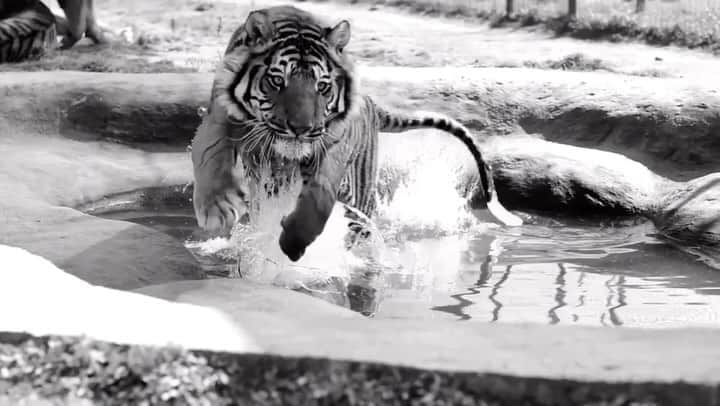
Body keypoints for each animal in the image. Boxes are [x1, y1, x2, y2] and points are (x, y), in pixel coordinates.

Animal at [191, 5, 522, 261]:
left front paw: (294, 242)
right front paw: (217, 208)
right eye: (276, 81)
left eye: (322, 86)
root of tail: (373, 103)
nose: (301, 129)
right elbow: (210, 154)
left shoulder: (332, 144)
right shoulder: (219, 114)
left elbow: (320, 196)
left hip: (359, 192)